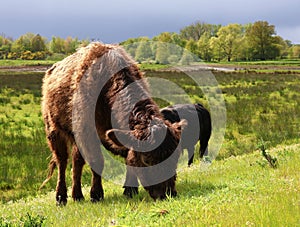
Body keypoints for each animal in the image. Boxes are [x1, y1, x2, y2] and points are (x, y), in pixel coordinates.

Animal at [41, 42, 184, 206]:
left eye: (176, 157)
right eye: (147, 160)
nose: (168, 193)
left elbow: (128, 158)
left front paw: (130, 190)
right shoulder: (88, 133)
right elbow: (97, 161)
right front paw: (96, 194)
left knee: (77, 162)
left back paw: (77, 195)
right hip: (54, 131)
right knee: (62, 162)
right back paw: (61, 197)